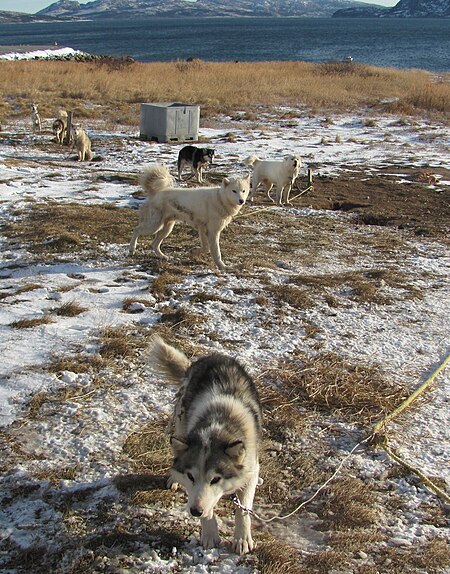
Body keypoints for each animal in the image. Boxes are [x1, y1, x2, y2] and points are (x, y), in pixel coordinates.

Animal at [149, 338, 262, 560]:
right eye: (191, 476)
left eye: (216, 479)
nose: (195, 512)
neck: (218, 424)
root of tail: (212, 357)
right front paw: (209, 532)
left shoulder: (250, 470)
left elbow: (243, 510)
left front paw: (242, 539)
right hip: (180, 422)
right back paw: (174, 479)